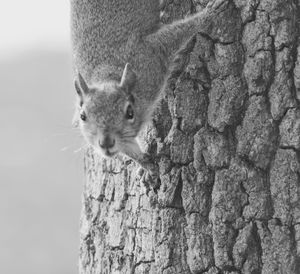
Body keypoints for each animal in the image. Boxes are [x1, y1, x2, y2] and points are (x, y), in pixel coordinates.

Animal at [71, 0, 229, 181]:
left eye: (130, 113)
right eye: (82, 116)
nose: (106, 144)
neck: (107, 75)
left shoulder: (151, 56)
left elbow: (178, 32)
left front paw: (208, 14)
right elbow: (128, 148)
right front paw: (146, 164)